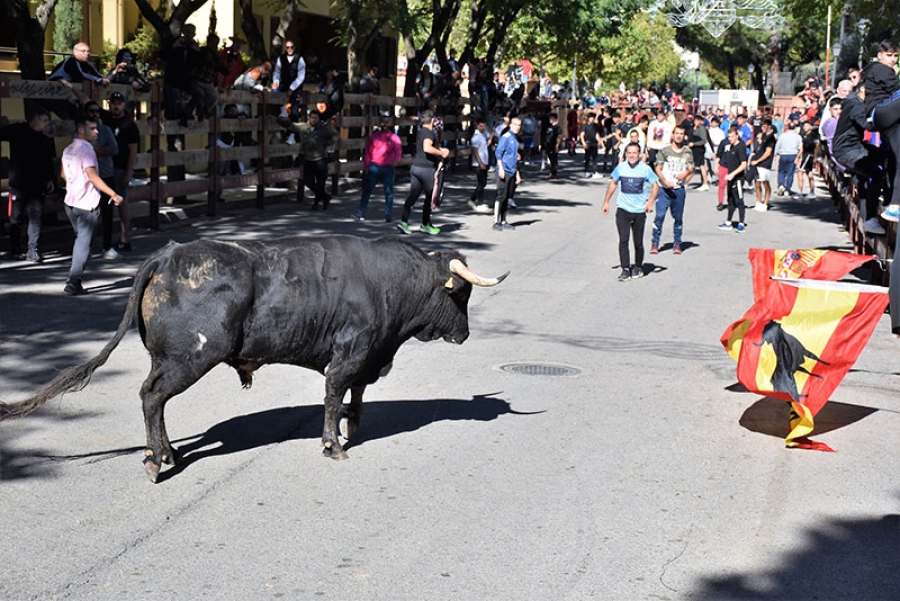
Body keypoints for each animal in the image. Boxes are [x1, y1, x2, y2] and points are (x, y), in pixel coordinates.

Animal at [0, 236, 506, 482]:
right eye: (460, 294)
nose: (464, 334)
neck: (389, 284)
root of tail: (168, 256)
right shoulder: (349, 354)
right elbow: (333, 395)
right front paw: (333, 443)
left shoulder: (366, 357)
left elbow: (354, 396)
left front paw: (353, 426)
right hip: (188, 359)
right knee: (151, 396)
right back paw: (155, 460)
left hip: (167, 359)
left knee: (155, 400)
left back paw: (168, 451)